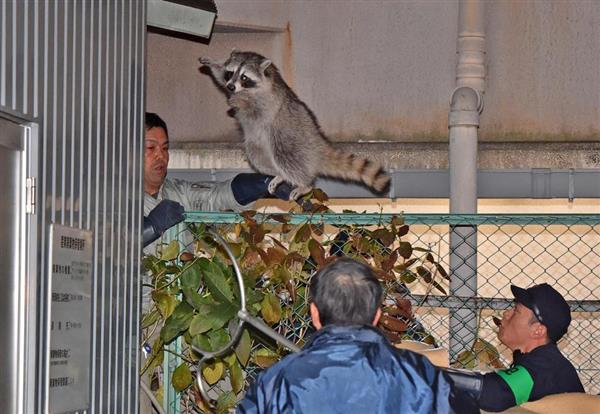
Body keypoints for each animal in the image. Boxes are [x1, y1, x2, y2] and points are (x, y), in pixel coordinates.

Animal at [199, 51, 392, 200]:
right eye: (230, 73)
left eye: (244, 77)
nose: (231, 86)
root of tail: (317, 140)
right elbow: (219, 77)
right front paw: (213, 64)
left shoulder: (269, 99)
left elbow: (256, 108)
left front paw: (240, 101)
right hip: (260, 144)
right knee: (256, 154)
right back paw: (279, 175)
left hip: (291, 136)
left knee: (285, 155)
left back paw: (304, 184)